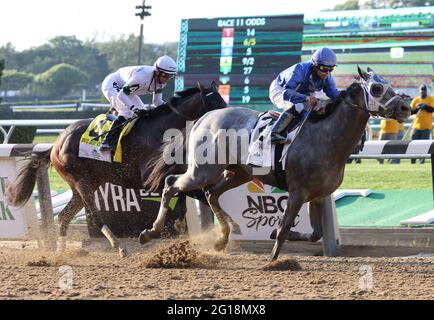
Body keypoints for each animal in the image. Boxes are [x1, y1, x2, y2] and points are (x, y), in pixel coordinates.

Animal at [5, 83, 227, 258]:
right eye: (215, 103)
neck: (163, 131)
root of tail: (56, 143)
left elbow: (195, 196)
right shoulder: (151, 177)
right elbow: (192, 194)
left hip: (84, 185)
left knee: (64, 217)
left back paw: (60, 254)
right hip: (82, 182)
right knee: (94, 216)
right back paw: (119, 247)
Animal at [140, 66, 410, 262]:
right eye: (376, 87)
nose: (405, 107)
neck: (326, 138)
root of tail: (203, 117)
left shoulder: (317, 195)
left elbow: (316, 233)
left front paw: (278, 236)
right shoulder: (298, 192)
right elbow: (284, 227)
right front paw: (272, 260)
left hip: (239, 173)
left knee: (211, 194)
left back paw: (222, 239)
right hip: (203, 171)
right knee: (171, 183)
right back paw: (150, 232)